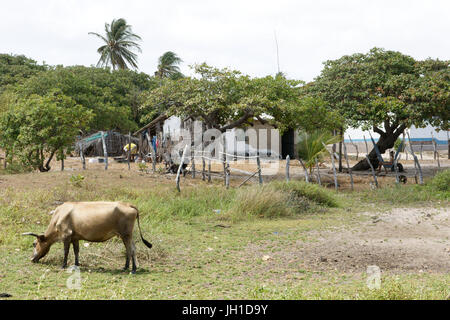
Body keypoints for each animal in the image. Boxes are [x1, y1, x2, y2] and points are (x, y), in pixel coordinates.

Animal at [22, 201, 152, 274]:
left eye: (34, 244)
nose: (31, 259)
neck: (59, 215)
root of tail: (128, 204)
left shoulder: (66, 235)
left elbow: (66, 251)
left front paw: (63, 265)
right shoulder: (75, 237)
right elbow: (76, 251)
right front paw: (76, 264)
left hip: (126, 234)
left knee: (131, 249)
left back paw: (133, 270)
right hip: (125, 235)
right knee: (129, 249)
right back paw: (125, 267)